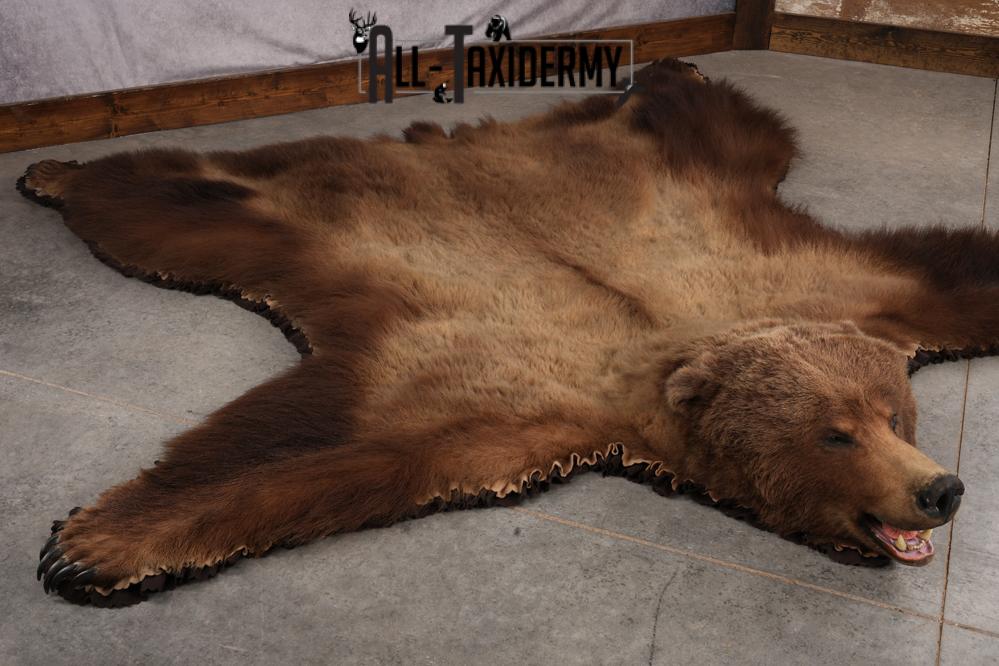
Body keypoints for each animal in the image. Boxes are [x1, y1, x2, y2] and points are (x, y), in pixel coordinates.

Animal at [21, 59, 976, 607]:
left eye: (897, 416)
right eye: (835, 434)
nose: (941, 488)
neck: (666, 347)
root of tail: (449, 142)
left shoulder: (844, 288)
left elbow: (959, 277)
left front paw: (91, 542)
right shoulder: (485, 403)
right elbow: (305, 452)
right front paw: (92, 547)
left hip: (689, 163)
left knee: (716, 116)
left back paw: (670, 65)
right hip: (281, 216)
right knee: (163, 197)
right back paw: (51, 168)